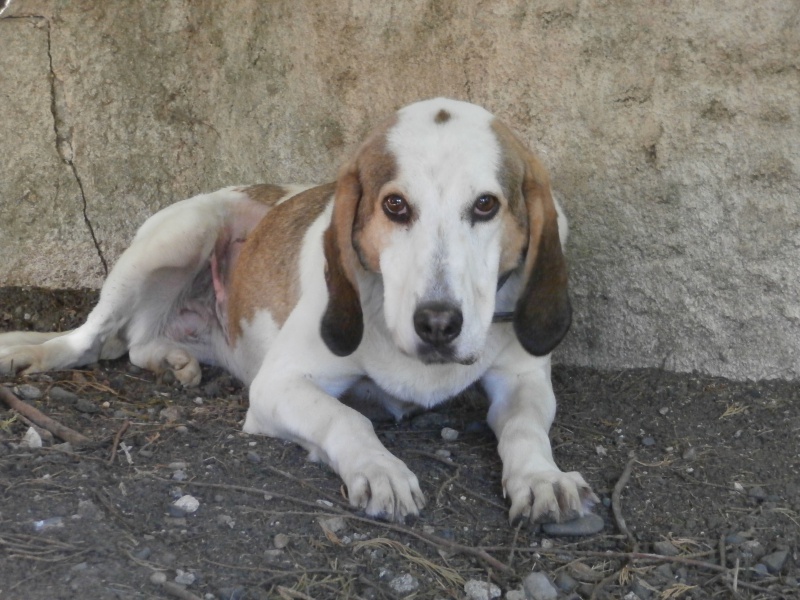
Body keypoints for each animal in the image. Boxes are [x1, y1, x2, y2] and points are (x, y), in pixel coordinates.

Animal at [0, 98, 596, 524]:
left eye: (486, 205)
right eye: (395, 205)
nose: (438, 324)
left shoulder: (524, 381)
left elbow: (524, 427)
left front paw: (542, 477)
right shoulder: (277, 386)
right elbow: (349, 417)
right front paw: (380, 467)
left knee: (141, 342)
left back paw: (172, 361)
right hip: (177, 235)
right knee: (91, 338)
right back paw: (38, 354)